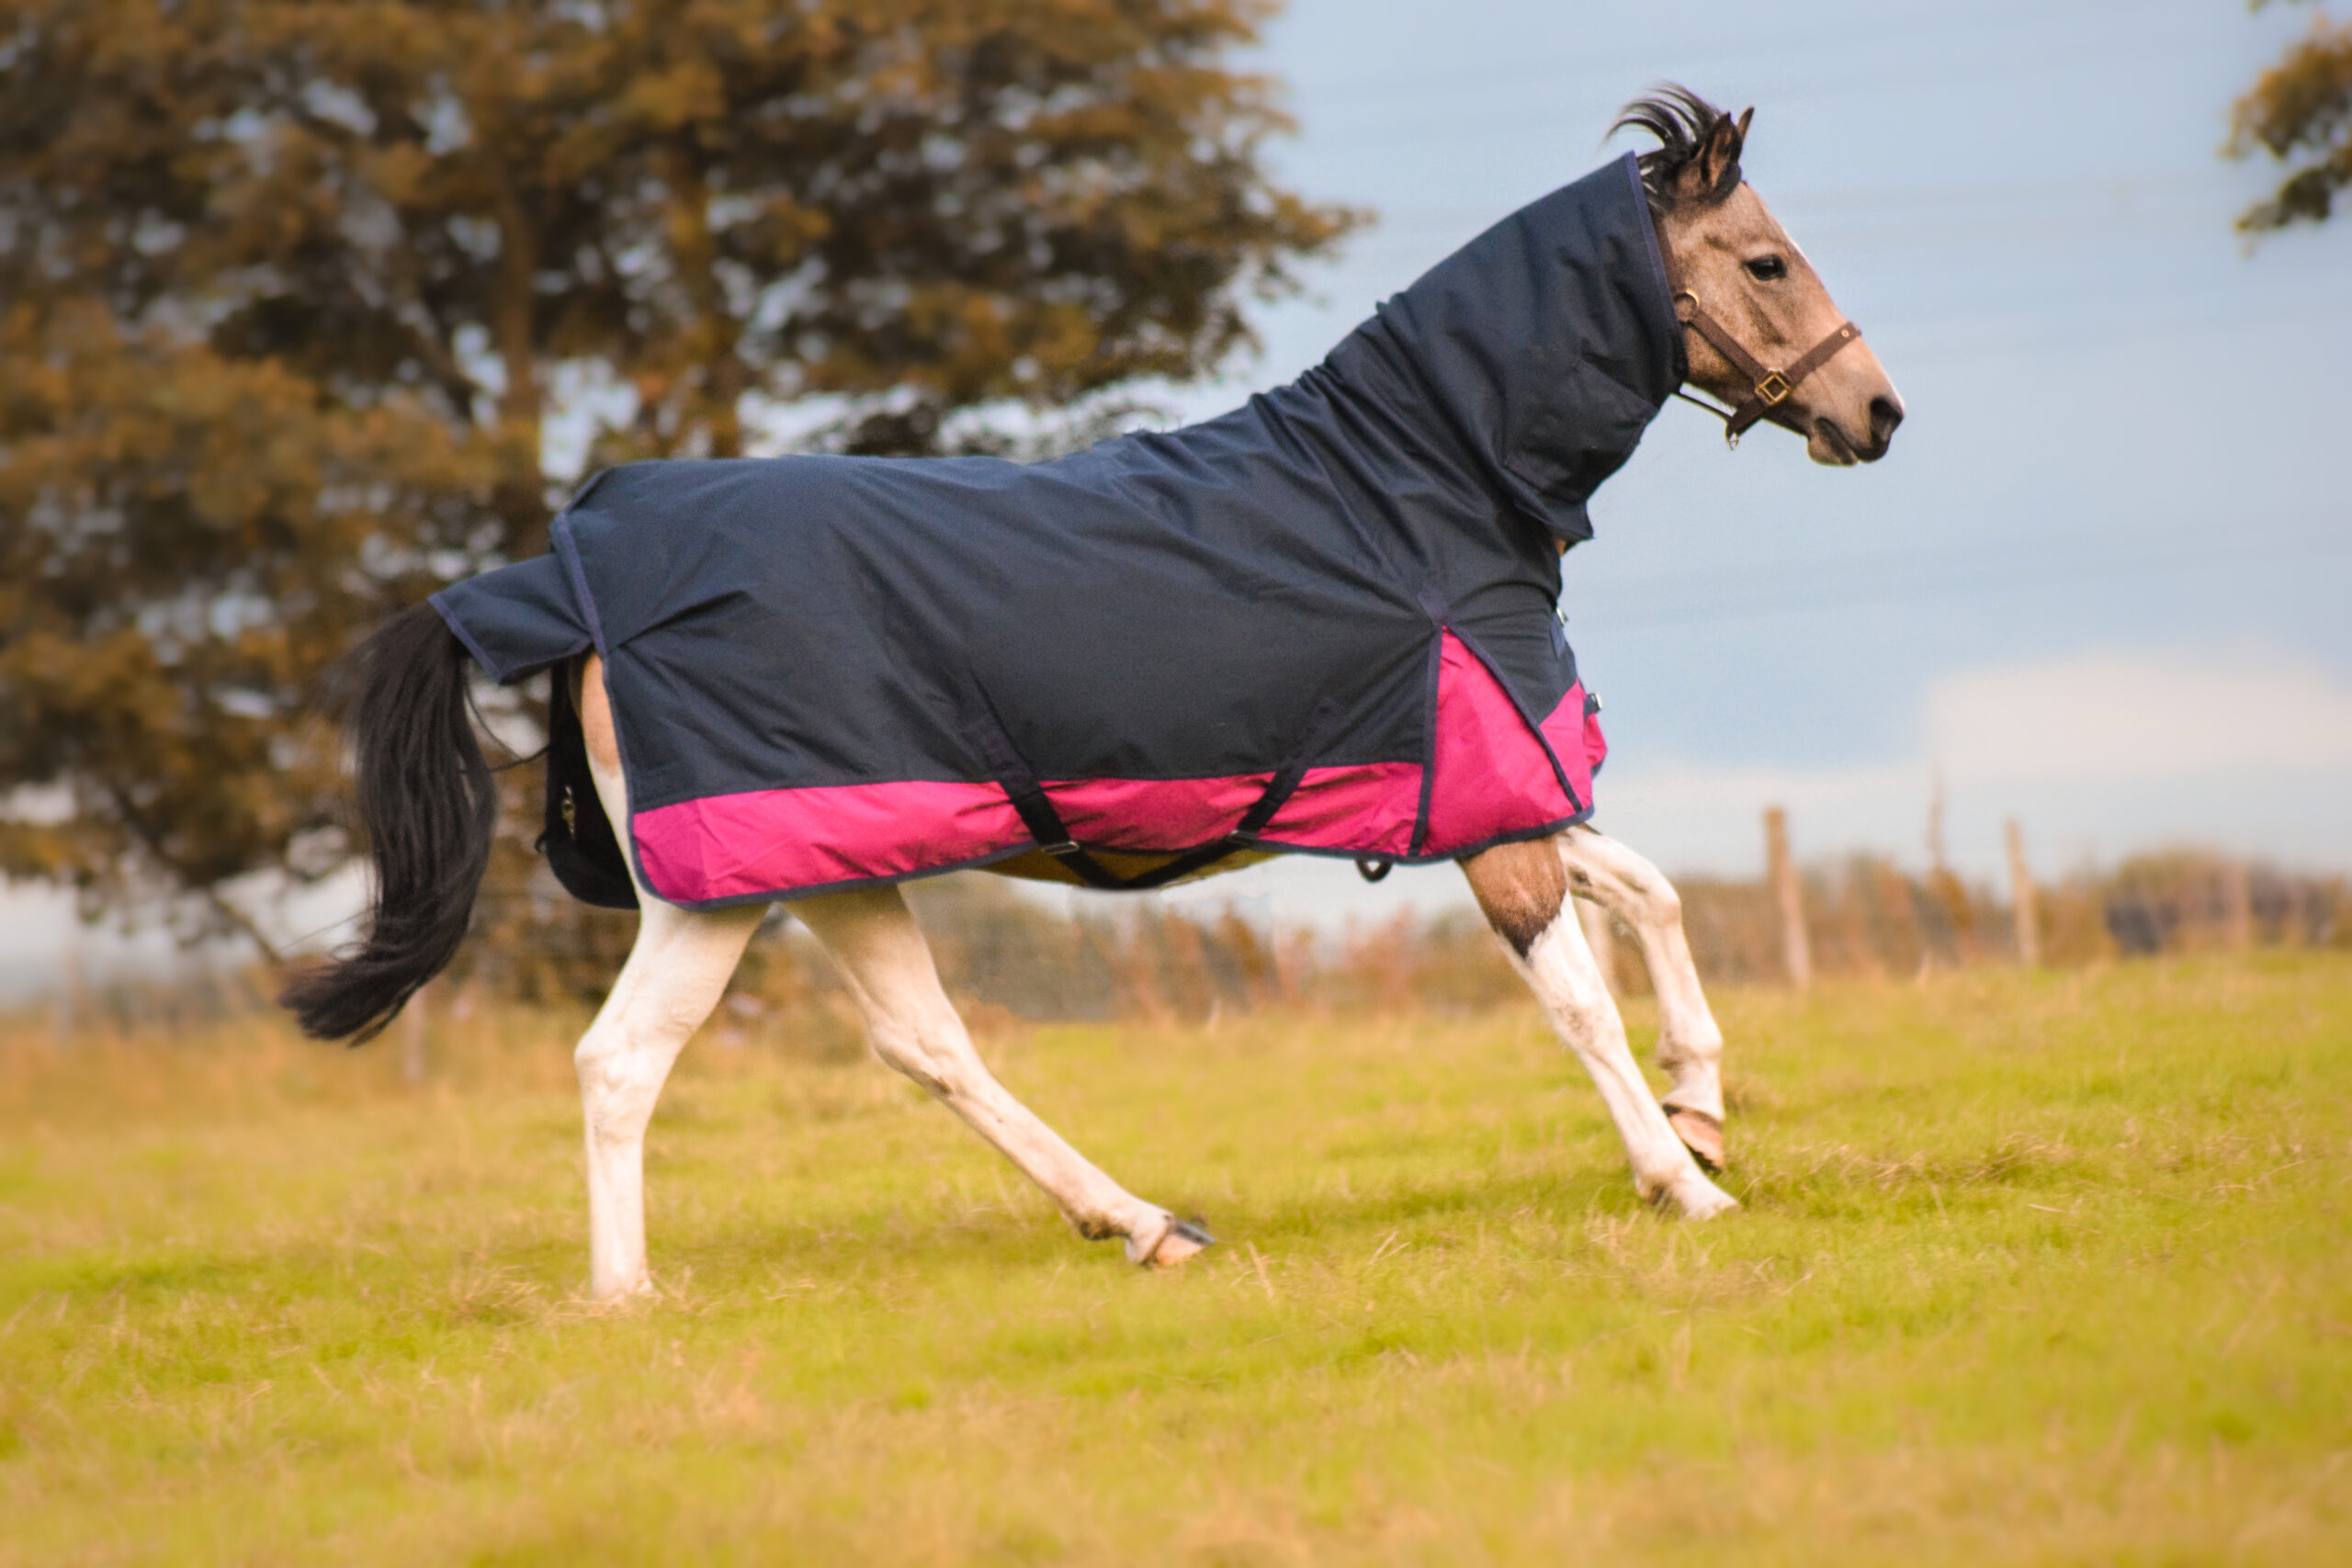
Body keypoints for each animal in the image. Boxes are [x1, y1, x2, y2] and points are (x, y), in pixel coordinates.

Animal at [284, 88, 1902, 1301]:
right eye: (1766, 261)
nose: (1875, 410)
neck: (1416, 481)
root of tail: (570, 578)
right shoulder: (1490, 815)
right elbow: (1579, 1001)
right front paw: (1683, 1183)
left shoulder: (1493, 789)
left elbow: (1655, 897)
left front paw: (1701, 1107)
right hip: (722, 889)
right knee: (622, 1061)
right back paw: (630, 1298)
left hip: (834, 870)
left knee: (928, 1047)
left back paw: (1140, 1222)